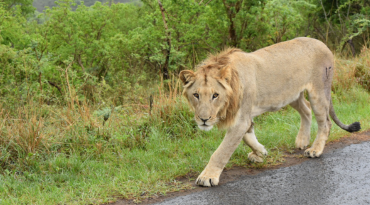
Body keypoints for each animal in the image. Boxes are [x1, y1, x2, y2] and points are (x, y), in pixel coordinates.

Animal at [179, 36, 362, 187]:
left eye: (215, 95)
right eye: (196, 95)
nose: (203, 119)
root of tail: (323, 44)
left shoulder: (241, 119)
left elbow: (222, 151)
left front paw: (207, 177)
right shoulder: (245, 117)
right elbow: (248, 136)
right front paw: (261, 153)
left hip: (319, 91)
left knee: (326, 123)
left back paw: (314, 150)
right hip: (292, 94)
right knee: (306, 110)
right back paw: (302, 141)